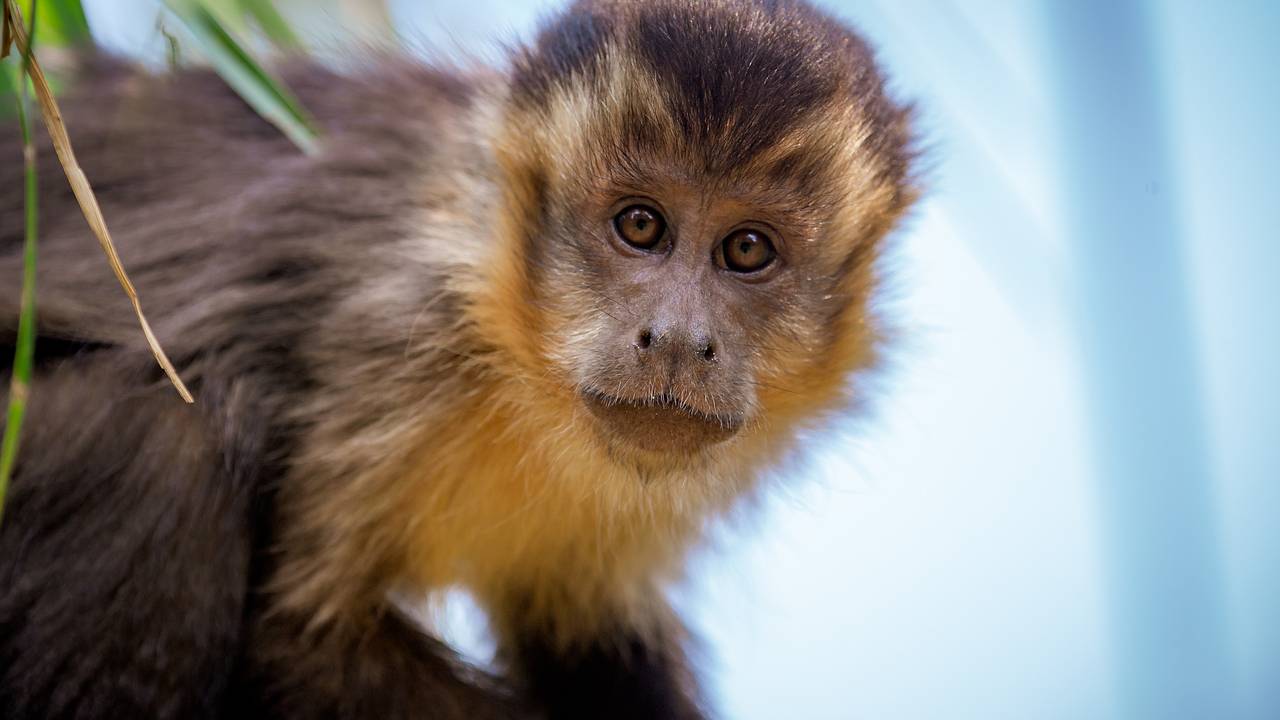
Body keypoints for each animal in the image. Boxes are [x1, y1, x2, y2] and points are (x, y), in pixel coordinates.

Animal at [0, 0, 917, 717]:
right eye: (641, 226)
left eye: (747, 250)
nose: (679, 339)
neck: (512, 356)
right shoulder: (400, 335)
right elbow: (300, 635)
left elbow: (584, 630)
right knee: (164, 442)